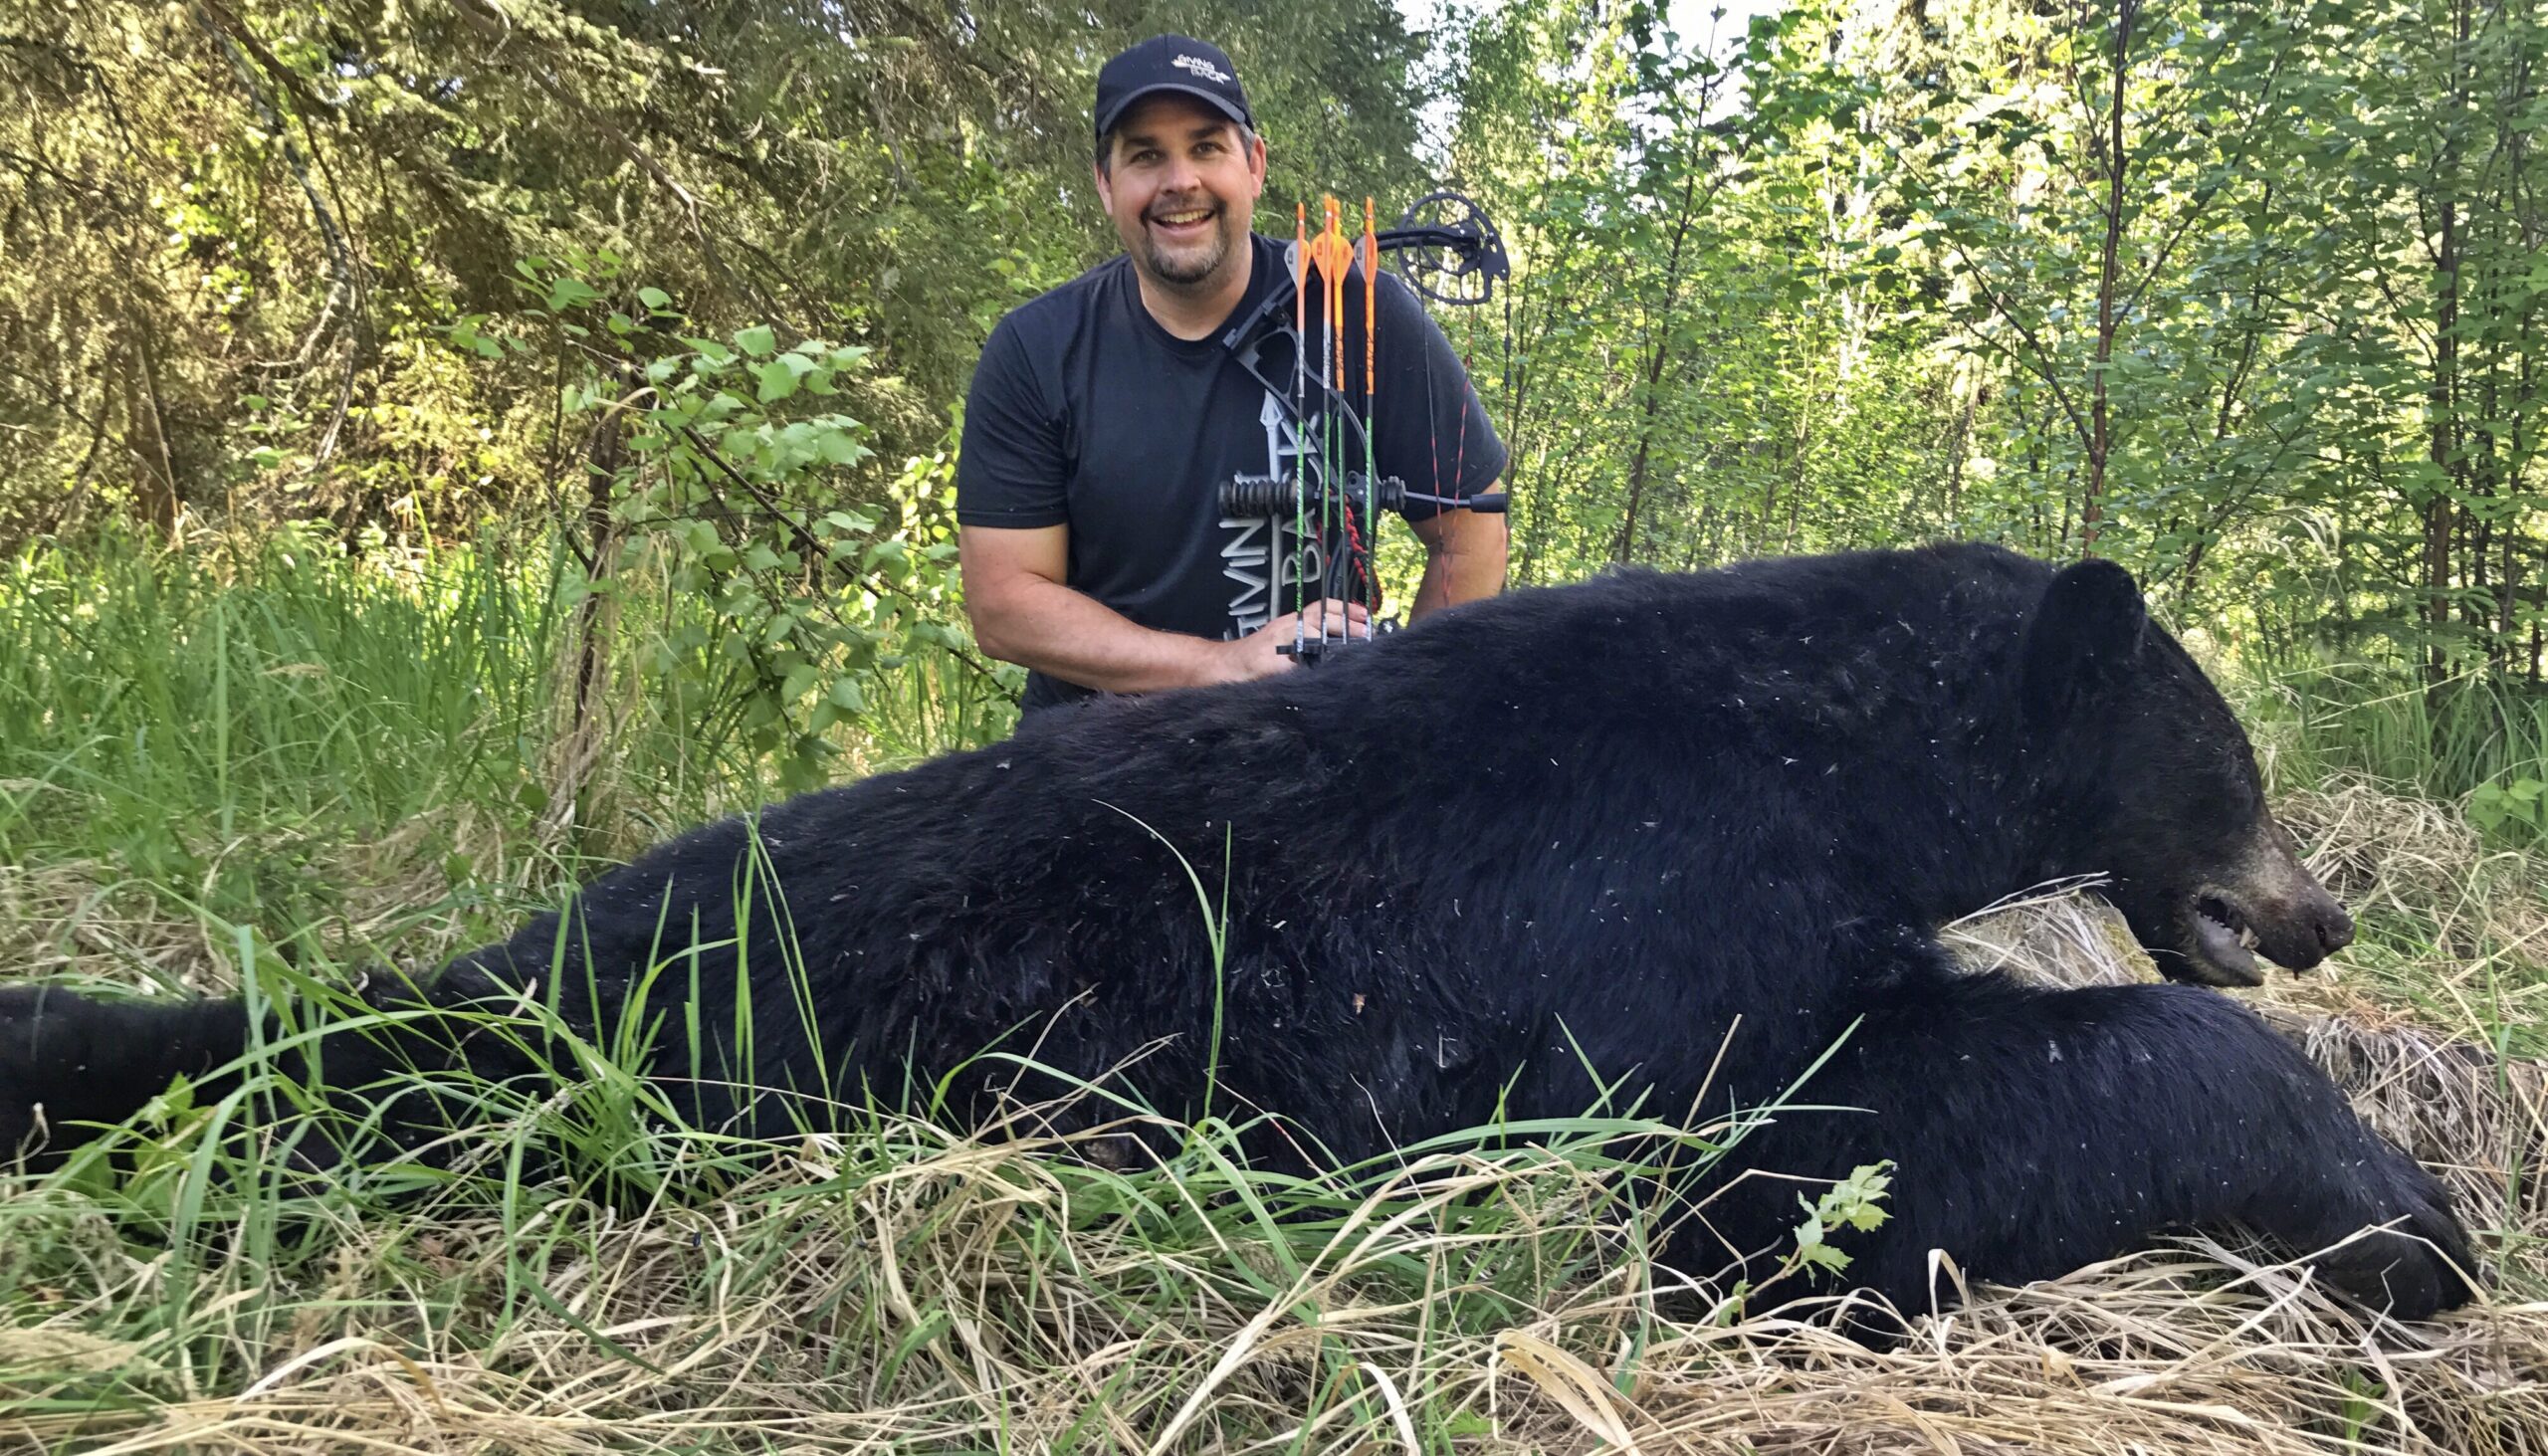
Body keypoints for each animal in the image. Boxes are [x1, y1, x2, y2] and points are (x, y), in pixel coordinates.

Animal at [0, 542, 2466, 1326]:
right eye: (2235, 764)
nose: (2322, 902)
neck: (1833, 740)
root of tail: (513, 971)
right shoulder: (1644, 917)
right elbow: (1795, 1149)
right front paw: (2400, 1205)